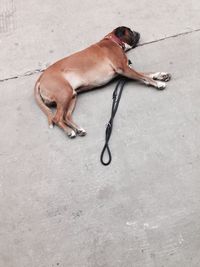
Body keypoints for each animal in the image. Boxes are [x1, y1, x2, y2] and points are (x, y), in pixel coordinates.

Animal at [34, 26, 170, 139]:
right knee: (57, 118)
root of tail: (41, 78)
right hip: (64, 94)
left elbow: (146, 74)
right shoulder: (124, 69)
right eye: (130, 31)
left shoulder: (125, 70)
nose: (138, 32)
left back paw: (78, 129)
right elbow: (144, 76)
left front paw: (161, 75)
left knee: (66, 116)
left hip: (72, 96)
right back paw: (69, 131)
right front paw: (158, 83)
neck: (112, 41)